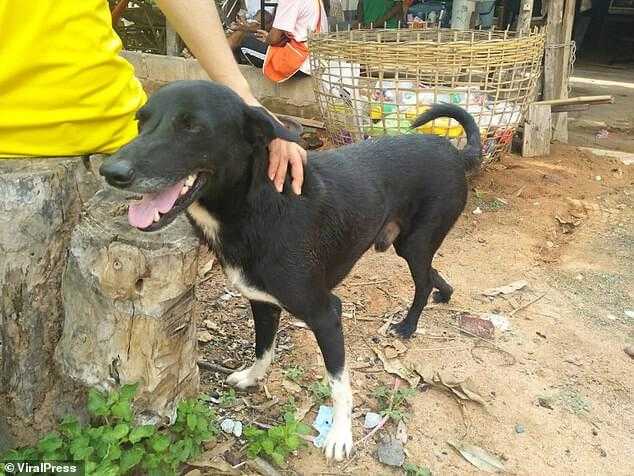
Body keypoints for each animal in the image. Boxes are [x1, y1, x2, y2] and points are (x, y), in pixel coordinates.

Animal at [100, 81, 478, 462]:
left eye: (191, 126)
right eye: (141, 120)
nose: (111, 172)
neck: (254, 208)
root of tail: (455, 153)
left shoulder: (326, 313)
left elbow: (338, 383)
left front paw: (340, 434)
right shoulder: (262, 302)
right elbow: (263, 347)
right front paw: (252, 377)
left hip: (416, 242)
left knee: (422, 281)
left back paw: (408, 325)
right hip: (407, 243)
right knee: (432, 274)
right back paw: (444, 294)